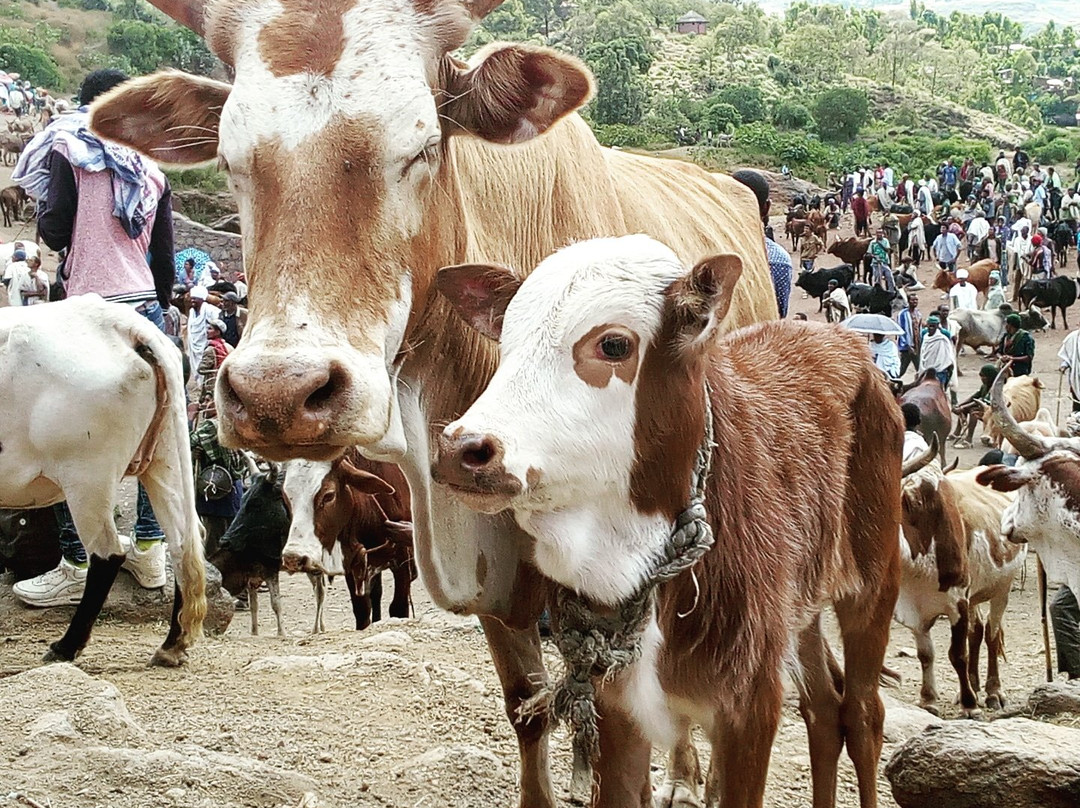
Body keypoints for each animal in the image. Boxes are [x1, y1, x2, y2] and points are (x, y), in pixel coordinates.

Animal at [898, 447, 1023, 721]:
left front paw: (970, 704)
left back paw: (992, 692)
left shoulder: (958, 601)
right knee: (976, 632)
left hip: (1002, 589)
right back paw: (974, 685)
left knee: (991, 634)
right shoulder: (915, 609)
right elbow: (926, 655)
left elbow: (958, 654)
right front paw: (928, 700)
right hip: (975, 594)